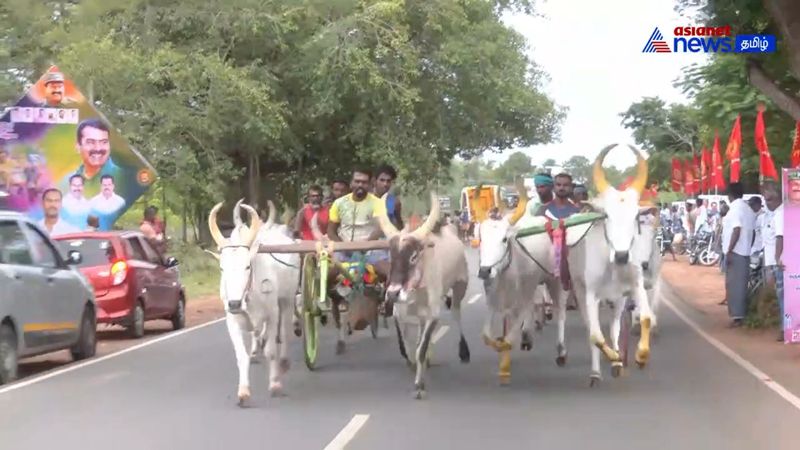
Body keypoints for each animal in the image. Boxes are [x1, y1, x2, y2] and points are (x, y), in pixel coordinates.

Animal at [206, 200, 300, 404]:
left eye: (247, 266)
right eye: (222, 268)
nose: (234, 304)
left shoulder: (272, 314)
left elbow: (271, 351)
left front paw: (275, 384)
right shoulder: (232, 321)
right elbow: (242, 356)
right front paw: (243, 391)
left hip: (287, 300)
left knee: (285, 330)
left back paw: (284, 360)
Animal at [378, 192, 472, 400]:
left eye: (413, 256)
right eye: (392, 255)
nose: (392, 293)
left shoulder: (433, 314)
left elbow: (420, 349)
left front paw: (419, 385)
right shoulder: (399, 314)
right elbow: (408, 346)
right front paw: (413, 366)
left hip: (460, 286)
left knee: (457, 313)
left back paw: (464, 351)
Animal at [564, 144, 652, 384]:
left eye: (635, 216)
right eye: (606, 215)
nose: (622, 255)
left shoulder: (635, 286)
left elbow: (645, 319)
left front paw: (640, 357)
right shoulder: (590, 295)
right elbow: (595, 336)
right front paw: (610, 358)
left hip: (618, 300)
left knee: (614, 328)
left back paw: (617, 362)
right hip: (578, 289)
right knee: (591, 330)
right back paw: (598, 369)